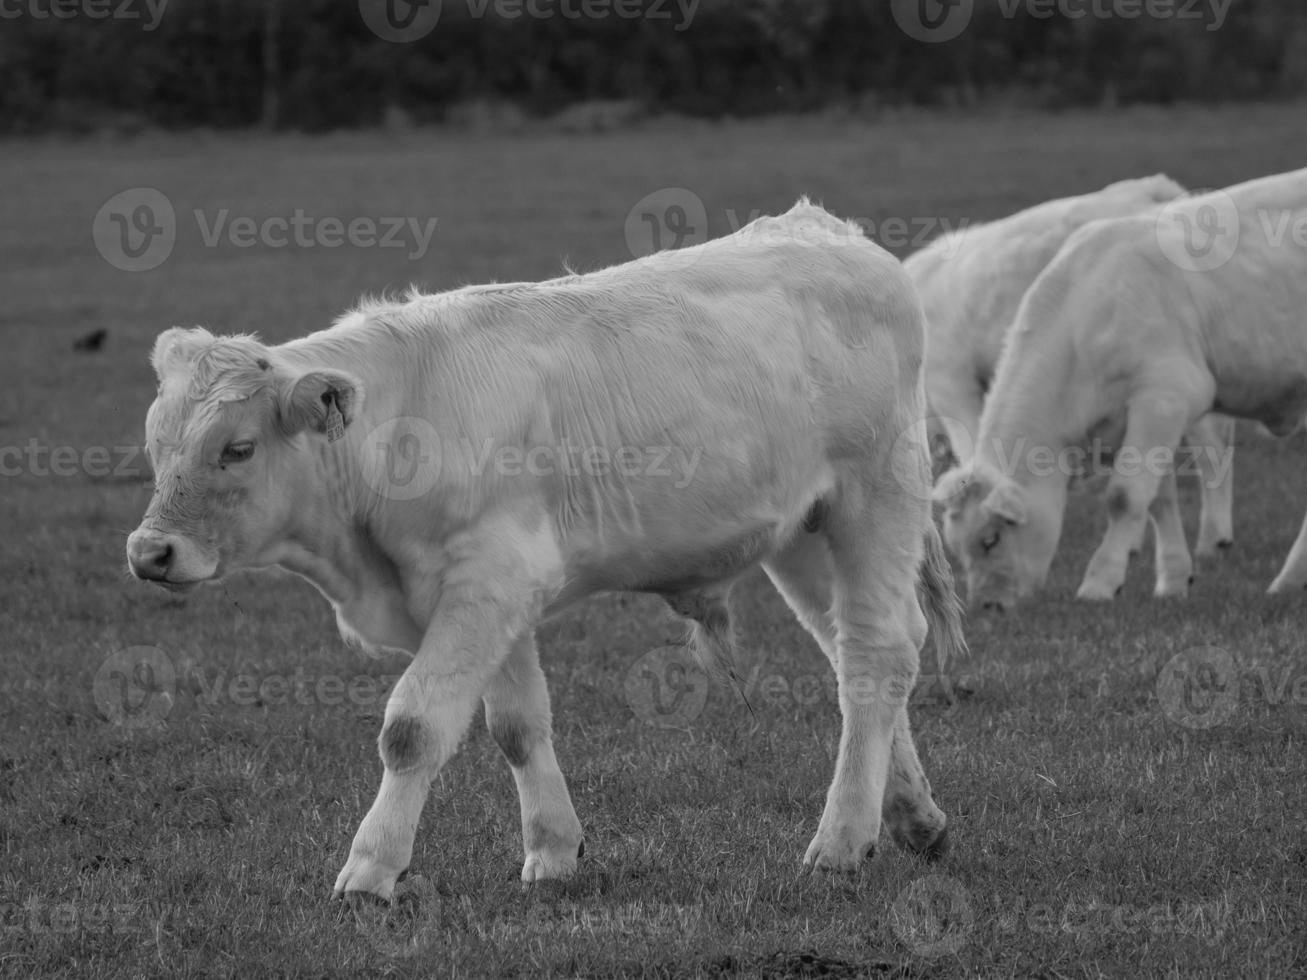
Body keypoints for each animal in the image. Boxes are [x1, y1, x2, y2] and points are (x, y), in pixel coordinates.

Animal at [130, 203, 972, 904]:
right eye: (155, 443)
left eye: (236, 449)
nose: (149, 551)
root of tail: (825, 228)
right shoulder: (493, 599)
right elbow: (517, 726)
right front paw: (552, 851)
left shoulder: (489, 583)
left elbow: (412, 729)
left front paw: (371, 869)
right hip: (801, 534)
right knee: (851, 653)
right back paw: (910, 817)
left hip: (876, 496)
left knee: (878, 653)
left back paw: (840, 840)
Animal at [935, 172, 1307, 611]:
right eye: (957, 548)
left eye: (991, 539)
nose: (988, 607)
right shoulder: (1133, 421)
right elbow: (1157, 499)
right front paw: (1172, 579)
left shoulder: (1164, 399)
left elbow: (1125, 497)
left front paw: (1100, 581)